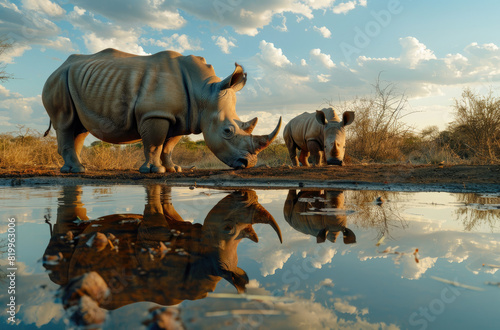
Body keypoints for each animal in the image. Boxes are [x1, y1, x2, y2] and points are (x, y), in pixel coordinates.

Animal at [42, 49, 282, 174]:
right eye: (228, 131)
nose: (248, 164)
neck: (204, 93)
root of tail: (57, 67)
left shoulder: (181, 117)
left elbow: (168, 146)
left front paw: (173, 169)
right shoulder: (155, 113)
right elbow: (154, 144)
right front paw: (154, 171)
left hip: (75, 80)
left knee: (79, 128)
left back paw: (78, 168)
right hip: (57, 80)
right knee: (65, 123)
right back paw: (76, 171)